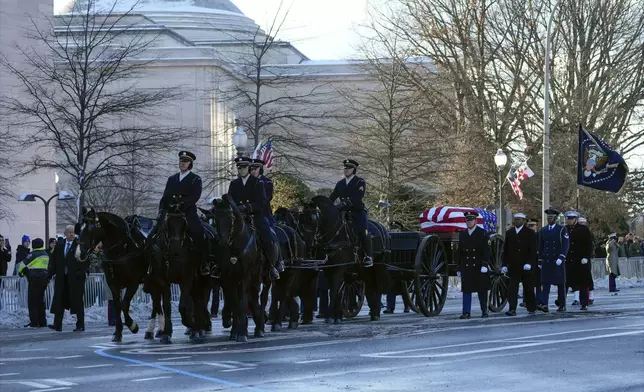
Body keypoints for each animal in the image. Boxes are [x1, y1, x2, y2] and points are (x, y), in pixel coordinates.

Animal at [76, 208, 154, 344]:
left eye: (91, 227)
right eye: (79, 227)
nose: (79, 253)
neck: (122, 249)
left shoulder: (133, 283)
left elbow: (124, 304)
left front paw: (133, 326)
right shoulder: (112, 283)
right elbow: (117, 306)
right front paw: (118, 333)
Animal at [148, 196, 211, 344]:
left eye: (184, 224)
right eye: (167, 223)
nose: (177, 250)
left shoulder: (187, 278)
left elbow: (183, 305)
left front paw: (190, 323)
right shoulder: (162, 280)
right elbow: (167, 306)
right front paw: (166, 333)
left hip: (201, 278)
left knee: (200, 301)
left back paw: (199, 327)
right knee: (197, 299)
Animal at [213, 194, 268, 342]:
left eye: (230, 217)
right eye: (214, 218)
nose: (221, 242)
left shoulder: (244, 277)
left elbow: (242, 302)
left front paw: (242, 333)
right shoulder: (228, 278)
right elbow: (235, 303)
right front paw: (234, 332)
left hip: (266, 279)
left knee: (263, 299)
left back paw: (260, 328)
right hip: (254, 280)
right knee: (254, 299)